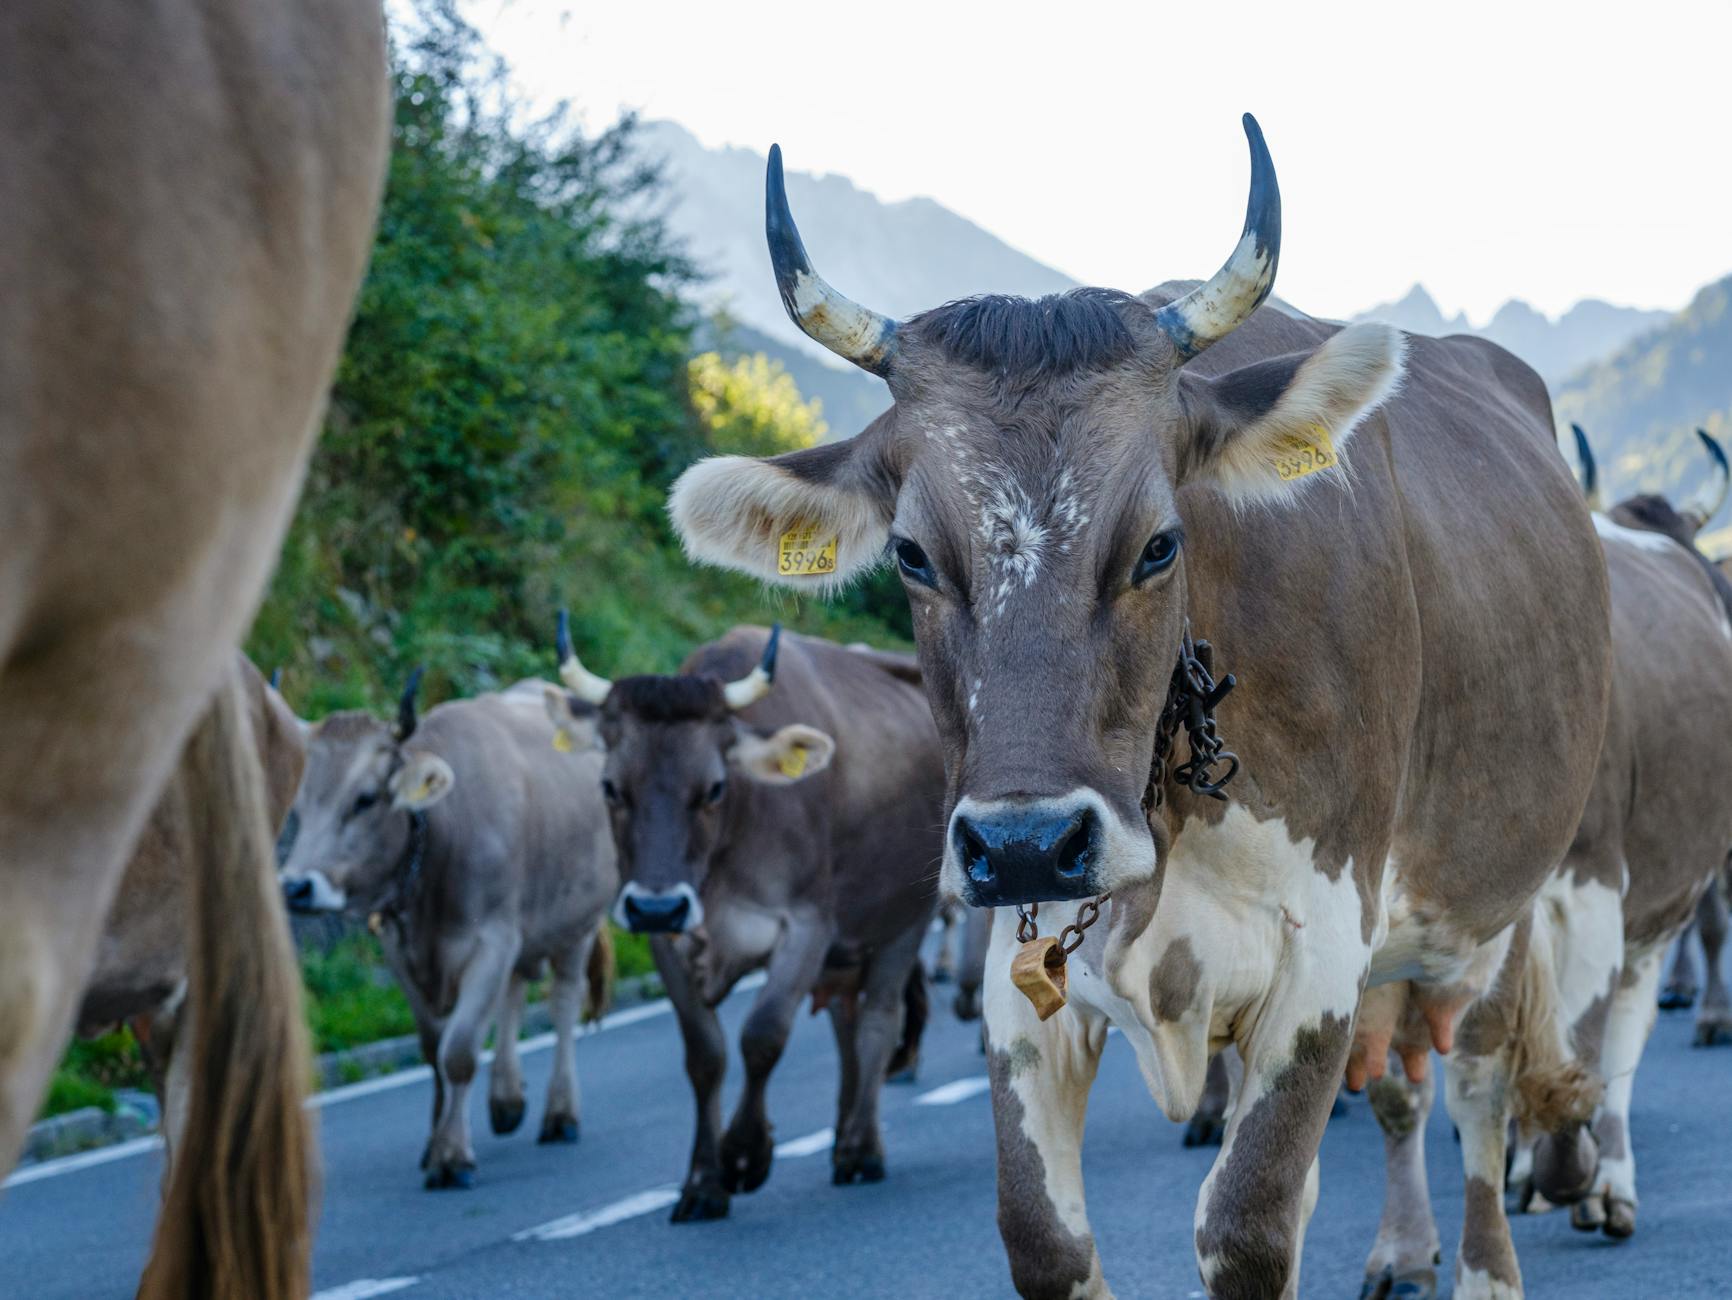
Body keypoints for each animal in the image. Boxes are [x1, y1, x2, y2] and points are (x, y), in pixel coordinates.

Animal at [279, 671, 617, 1189]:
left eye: (365, 799)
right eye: (298, 807)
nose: (296, 887)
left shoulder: (492, 941)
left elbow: (457, 1051)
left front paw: (452, 1156)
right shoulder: (402, 951)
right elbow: (431, 1049)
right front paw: (432, 1143)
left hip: (577, 922)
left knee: (563, 1003)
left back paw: (560, 1115)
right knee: (516, 991)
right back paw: (506, 1100)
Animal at [543, 618, 945, 1220]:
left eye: (713, 788)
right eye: (610, 787)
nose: (657, 905)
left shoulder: (807, 925)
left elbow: (763, 1035)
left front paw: (743, 1156)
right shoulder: (667, 938)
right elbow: (704, 1054)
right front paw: (702, 1183)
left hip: (905, 921)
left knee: (879, 1020)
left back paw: (860, 1150)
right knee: (846, 1025)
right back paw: (841, 1136)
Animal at [666, 115, 1614, 1298]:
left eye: (1160, 543)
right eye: (913, 555)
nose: (1027, 843)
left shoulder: (1322, 951)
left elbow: (1248, 1224)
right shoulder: (1018, 977)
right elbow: (1044, 1235)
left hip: (1496, 908)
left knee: (1480, 1089)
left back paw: (1489, 1260)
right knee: (1403, 1087)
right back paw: (1400, 1248)